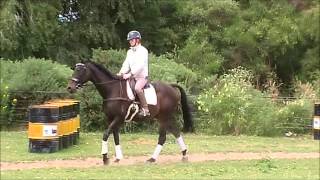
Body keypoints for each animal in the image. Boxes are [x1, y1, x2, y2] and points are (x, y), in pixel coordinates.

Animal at [66, 60, 194, 165]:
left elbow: (106, 134)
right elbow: (116, 136)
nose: (70, 88)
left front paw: (105, 158)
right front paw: (118, 158)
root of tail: (171, 86)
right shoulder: (111, 118)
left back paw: (158, 158)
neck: (112, 90)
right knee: (173, 133)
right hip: (162, 117)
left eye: (79, 70)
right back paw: (177, 155)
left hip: (165, 117)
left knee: (167, 136)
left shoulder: (118, 118)